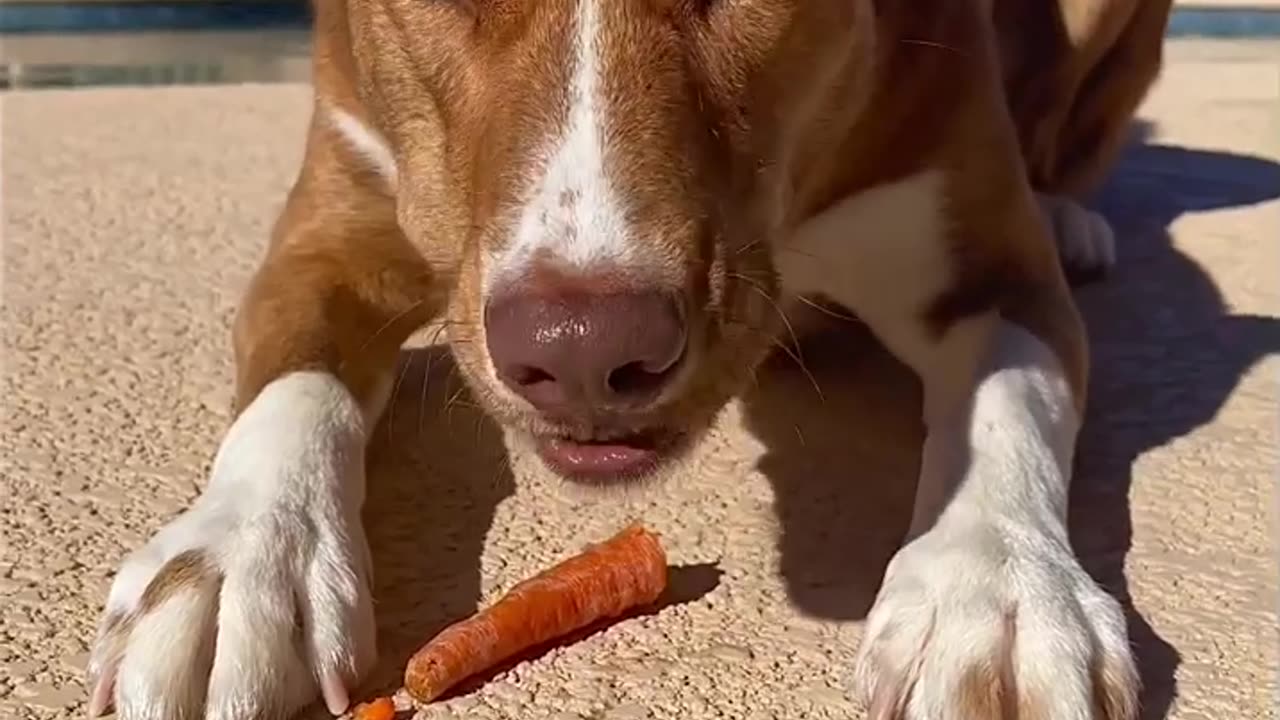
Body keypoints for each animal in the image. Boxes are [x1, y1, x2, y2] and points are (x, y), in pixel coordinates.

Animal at [87, 0, 1172, 712]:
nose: (582, 351)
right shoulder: (326, 239)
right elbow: (293, 389)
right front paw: (239, 559)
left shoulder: (993, 275)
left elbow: (1004, 405)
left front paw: (990, 590)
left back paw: (1071, 217)